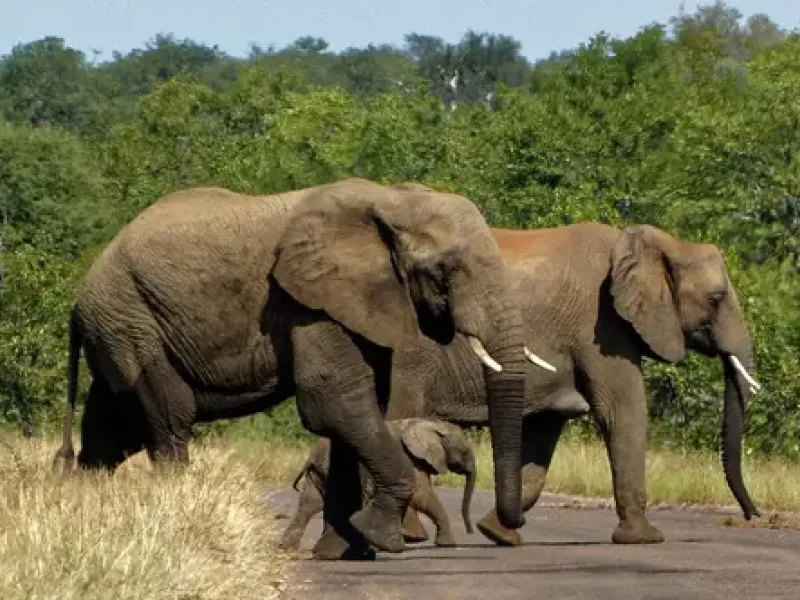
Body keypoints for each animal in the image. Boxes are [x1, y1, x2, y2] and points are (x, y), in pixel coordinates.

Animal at [279, 418, 477, 551]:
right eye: (465, 451)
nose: (470, 531)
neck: (428, 423)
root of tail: (312, 455)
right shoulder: (410, 459)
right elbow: (421, 495)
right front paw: (447, 544)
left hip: (322, 472)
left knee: (310, 504)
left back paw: (287, 548)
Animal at [381, 222, 761, 547]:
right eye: (716, 298)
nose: (752, 515)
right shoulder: (601, 327)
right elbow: (624, 412)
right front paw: (645, 539)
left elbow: (544, 430)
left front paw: (499, 534)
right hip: (405, 359)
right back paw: (410, 535)